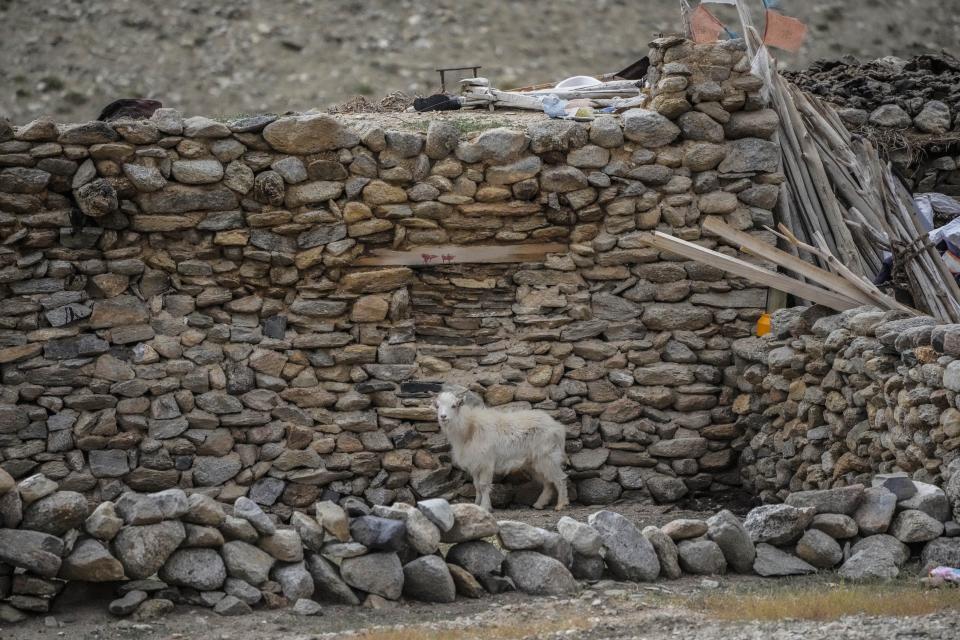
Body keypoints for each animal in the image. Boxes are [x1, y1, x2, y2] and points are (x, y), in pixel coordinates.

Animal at [436, 390, 568, 510]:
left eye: (454, 405)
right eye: (438, 406)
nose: (443, 417)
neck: (469, 428)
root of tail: (558, 427)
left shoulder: (486, 463)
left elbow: (483, 486)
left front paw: (485, 506)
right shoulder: (475, 463)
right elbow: (476, 486)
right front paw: (476, 504)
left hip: (548, 456)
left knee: (560, 479)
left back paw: (561, 504)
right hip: (534, 462)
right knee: (548, 482)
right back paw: (540, 504)